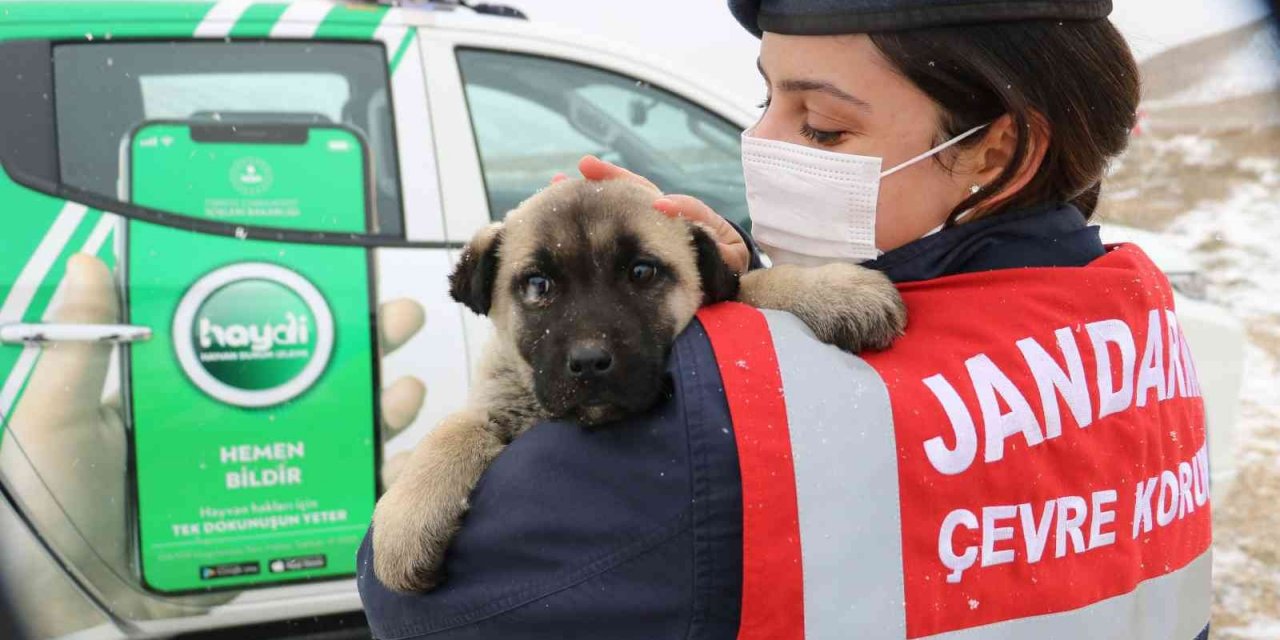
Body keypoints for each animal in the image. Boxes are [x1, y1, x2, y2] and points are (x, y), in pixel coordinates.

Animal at [373, 177, 911, 591]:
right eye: (538, 285)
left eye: (641, 272)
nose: (589, 363)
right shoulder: (497, 400)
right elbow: (451, 430)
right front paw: (402, 525)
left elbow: (747, 288)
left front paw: (834, 289)